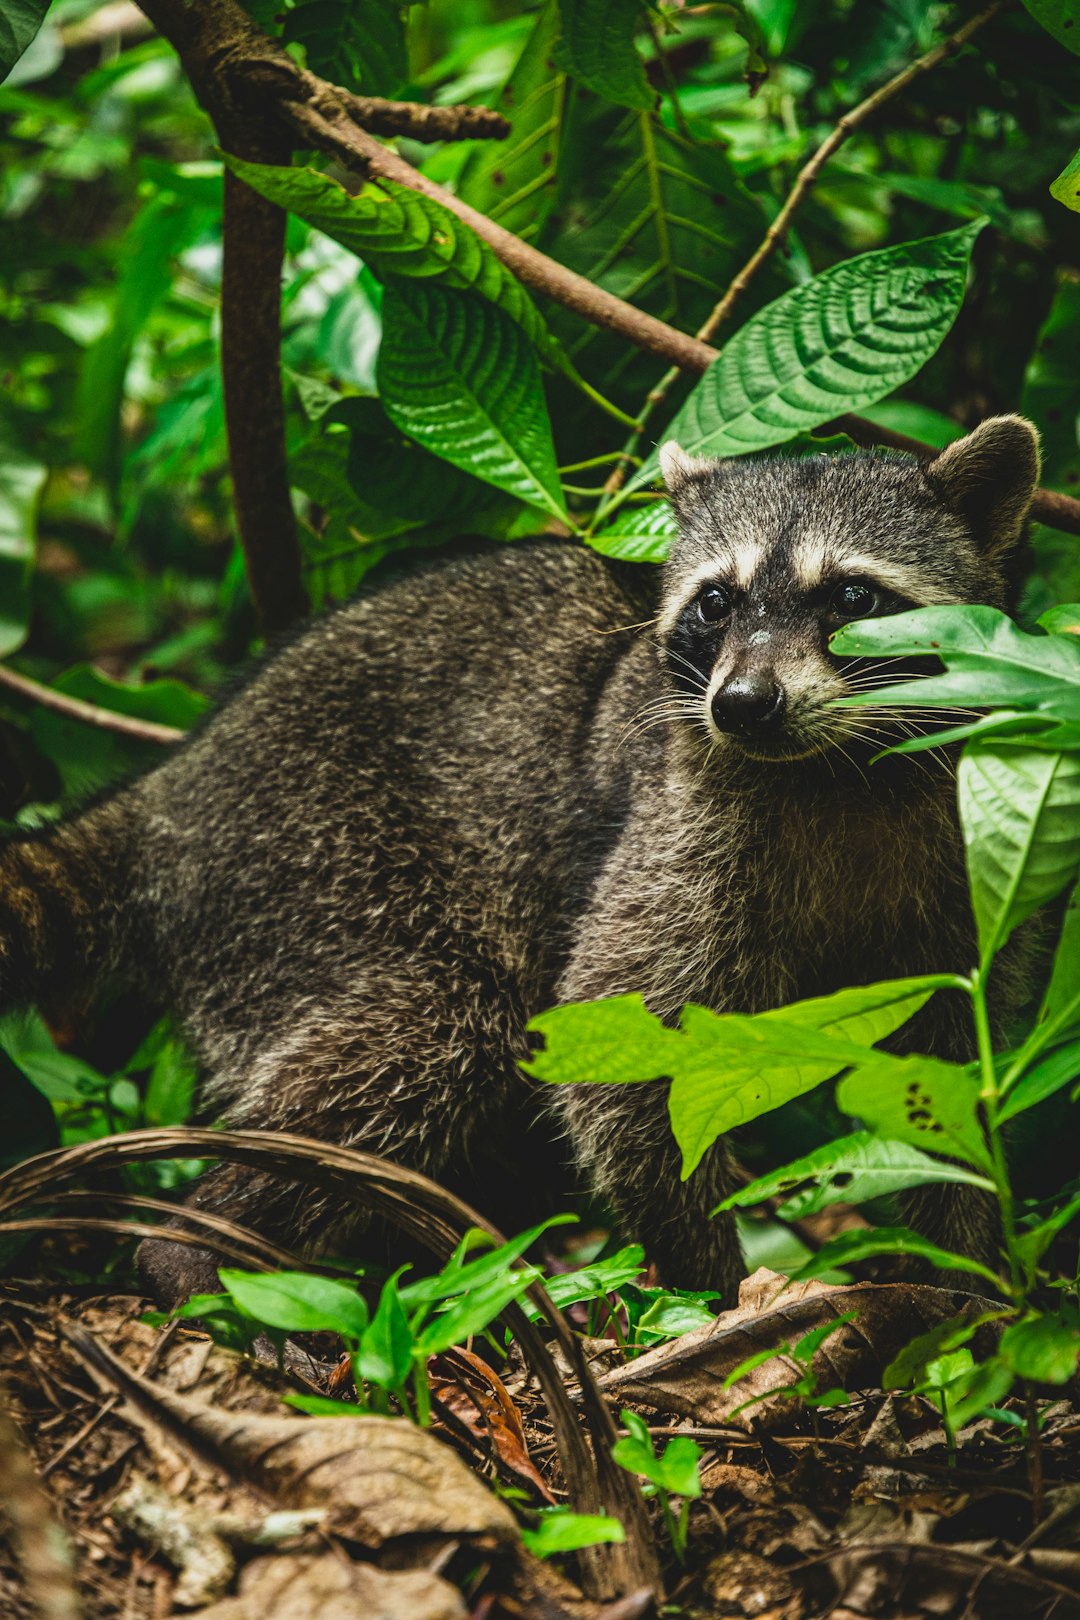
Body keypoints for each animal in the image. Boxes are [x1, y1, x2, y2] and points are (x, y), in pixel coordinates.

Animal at [0, 414, 1042, 1302]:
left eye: (853, 597)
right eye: (716, 604)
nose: (743, 704)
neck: (841, 768)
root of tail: (173, 788)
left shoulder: (971, 844)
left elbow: (959, 1063)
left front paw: (967, 1275)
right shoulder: (680, 829)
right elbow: (620, 1036)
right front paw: (713, 1279)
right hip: (307, 858)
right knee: (426, 1030)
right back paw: (190, 1250)